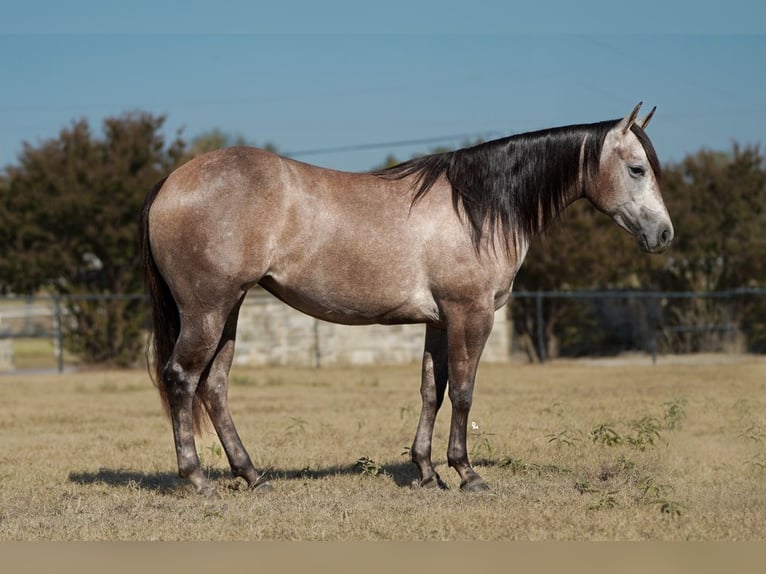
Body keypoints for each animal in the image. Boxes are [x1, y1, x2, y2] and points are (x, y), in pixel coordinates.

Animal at [141, 102, 676, 496]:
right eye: (636, 168)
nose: (664, 234)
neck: (477, 208)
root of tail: (171, 182)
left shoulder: (438, 321)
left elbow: (430, 391)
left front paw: (425, 471)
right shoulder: (470, 315)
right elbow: (463, 392)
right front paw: (466, 473)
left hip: (228, 311)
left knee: (214, 388)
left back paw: (252, 475)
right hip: (207, 312)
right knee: (182, 379)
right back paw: (198, 479)